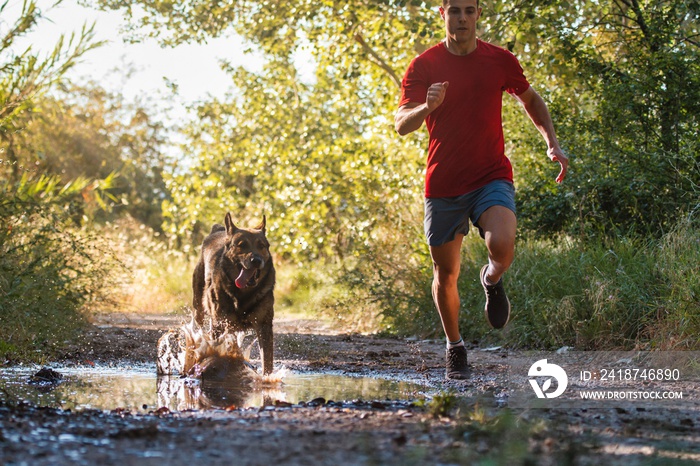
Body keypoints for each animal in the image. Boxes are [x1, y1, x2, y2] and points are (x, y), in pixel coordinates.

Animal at [194, 213, 278, 374]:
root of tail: (218, 230)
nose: (256, 260)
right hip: (199, 307)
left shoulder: (264, 326)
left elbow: (267, 360)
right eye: (242, 245)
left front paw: (267, 377)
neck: (243, 293)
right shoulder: (219, 323)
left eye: (261, 245)